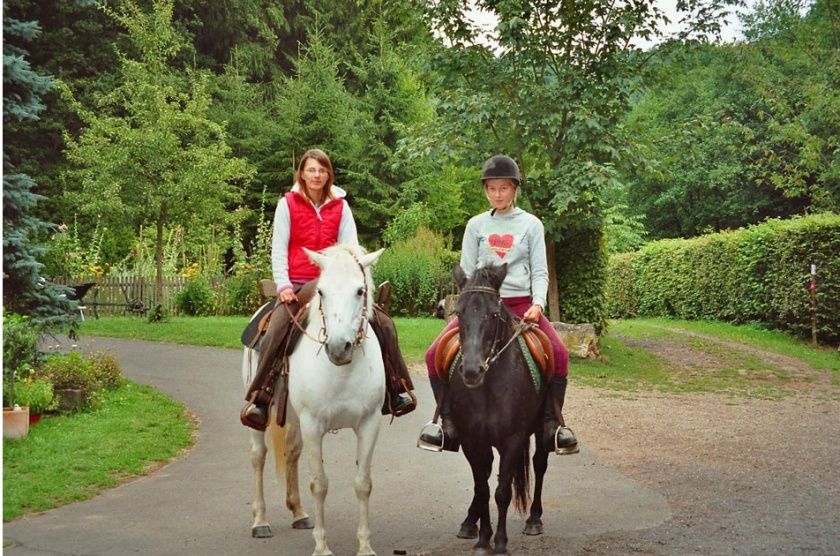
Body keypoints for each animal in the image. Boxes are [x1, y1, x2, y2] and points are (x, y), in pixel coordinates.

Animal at [241, 244, 386, 556]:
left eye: (360, 290)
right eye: (321, 291)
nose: (338, 347)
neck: (341, 370)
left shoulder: (369, 423)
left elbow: (363, 483)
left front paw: (365, 546)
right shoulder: (313, 424)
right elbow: (319, 484)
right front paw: (322, 547)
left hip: (294, 420)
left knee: (291, 453)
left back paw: (298, 513)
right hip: (262, 419)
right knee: (258, 457)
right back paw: (260, 521)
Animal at [449, 262, 551, 554]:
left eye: (493, 313)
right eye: (458, 312)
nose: (472, 370)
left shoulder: (513, 439)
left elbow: (502, 492)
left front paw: (501, 542)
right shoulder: (472, 439)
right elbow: (483, 488)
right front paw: (484, 539)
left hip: (541, 430)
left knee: (540, 464)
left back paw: (534, 519)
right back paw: (469, 523)